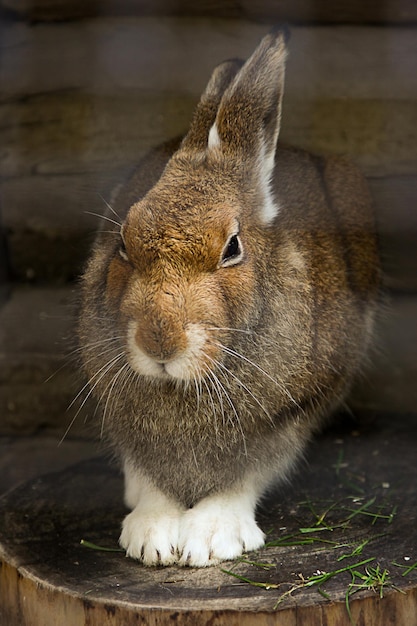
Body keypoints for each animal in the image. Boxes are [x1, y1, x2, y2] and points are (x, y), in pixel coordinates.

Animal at [78, 29, 380, 564]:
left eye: (232, 248)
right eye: (123, 243)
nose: (160, 341)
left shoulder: (292, 412)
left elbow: (244, 476)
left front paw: (211, 539)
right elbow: (151, 476)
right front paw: (152, 537)